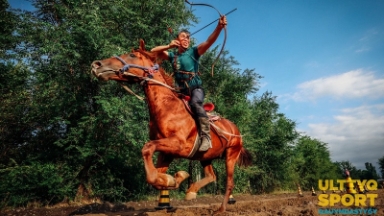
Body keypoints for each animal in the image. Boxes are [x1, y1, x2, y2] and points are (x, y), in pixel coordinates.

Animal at [90, 40, 252, 213]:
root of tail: (235, 129)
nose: (96, 64)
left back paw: (220, 209)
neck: (167, 107)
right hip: (205, 157)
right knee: (211, 176)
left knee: (229, 183)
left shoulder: (179, 145)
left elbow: (147, 149)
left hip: (230, 156)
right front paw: (175, 179)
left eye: (132, 55)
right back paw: (191, 191)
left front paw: (174, 178)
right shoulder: (166, 152)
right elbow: (153, 177)